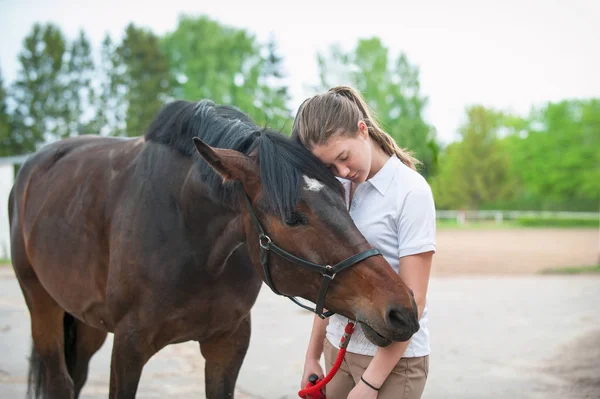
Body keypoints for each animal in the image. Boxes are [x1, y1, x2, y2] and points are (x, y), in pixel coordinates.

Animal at [10, 99, 422, 396]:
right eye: (293, 217)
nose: (401, 310)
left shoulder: (228, 343)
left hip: (85, 321)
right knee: (60, 382)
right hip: (41, 305)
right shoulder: (128, 347)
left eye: (343, 198)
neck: (190, 238)